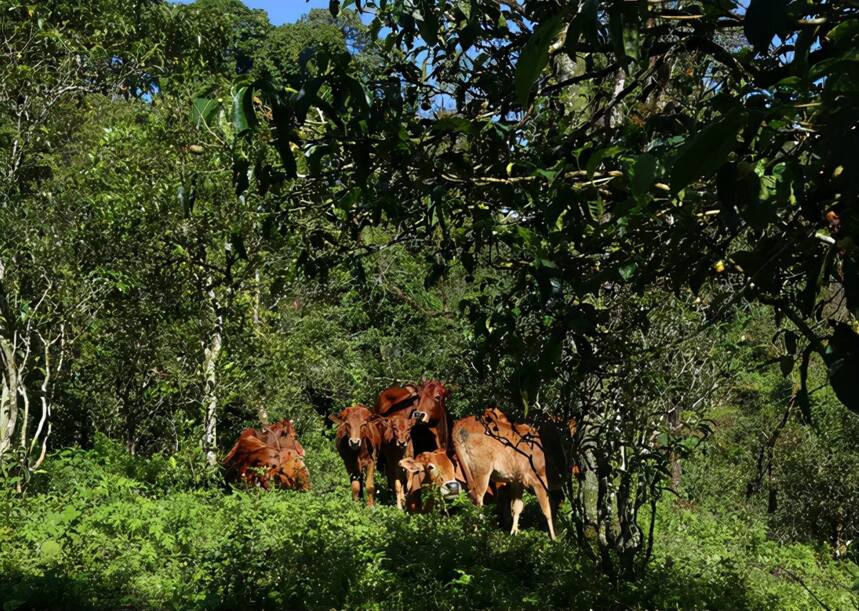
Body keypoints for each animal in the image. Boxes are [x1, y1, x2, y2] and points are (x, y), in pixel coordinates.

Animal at [454, 408, 560, 536]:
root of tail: (460, 424)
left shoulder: (517, 481)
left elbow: (517, 507)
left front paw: (514, 531)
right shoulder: (538, 480)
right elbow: (547, 510)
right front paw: (554, 537)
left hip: (466, 470)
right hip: (482, 471)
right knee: (478, 498)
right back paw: (480, 529)